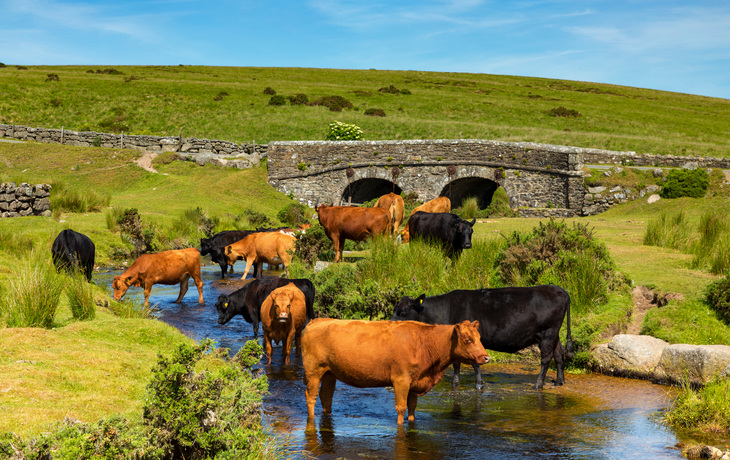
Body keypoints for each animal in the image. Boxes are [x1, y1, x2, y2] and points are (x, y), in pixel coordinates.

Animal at [302, 320, 490, 424]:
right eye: (467, 339)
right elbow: (401, 408)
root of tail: (317, 320)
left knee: (326, 396)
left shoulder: (415, 381)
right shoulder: (401, 380)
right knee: (310, 396)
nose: (486, 357)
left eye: (480, 338)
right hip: (313, 370)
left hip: (329, 373)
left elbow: (412, 407)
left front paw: (411, 421)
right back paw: (311, 419)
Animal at [390, 286, 572, 390]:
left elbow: (474, 363)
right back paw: (559, 381)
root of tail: (559, 289)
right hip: (554, 333)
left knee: (546, 358)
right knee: (558, 353)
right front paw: (455, 383)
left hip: (548, 332)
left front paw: (479, 383)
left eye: (403, 312)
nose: (389, 324)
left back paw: (538, 384)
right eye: (394, 309)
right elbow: (456, 363)